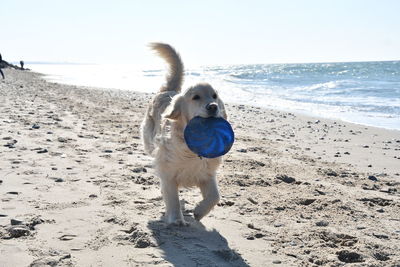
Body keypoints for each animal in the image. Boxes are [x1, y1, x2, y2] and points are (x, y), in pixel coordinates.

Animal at [141, 43, 228, 226]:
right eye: (196, 97)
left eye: (215, 96)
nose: (213, 107)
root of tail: (168, 90)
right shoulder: (168, 171)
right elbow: (172, 197)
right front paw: (177, 219)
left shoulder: (206, 172)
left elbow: (215, 196)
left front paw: (199, 212)